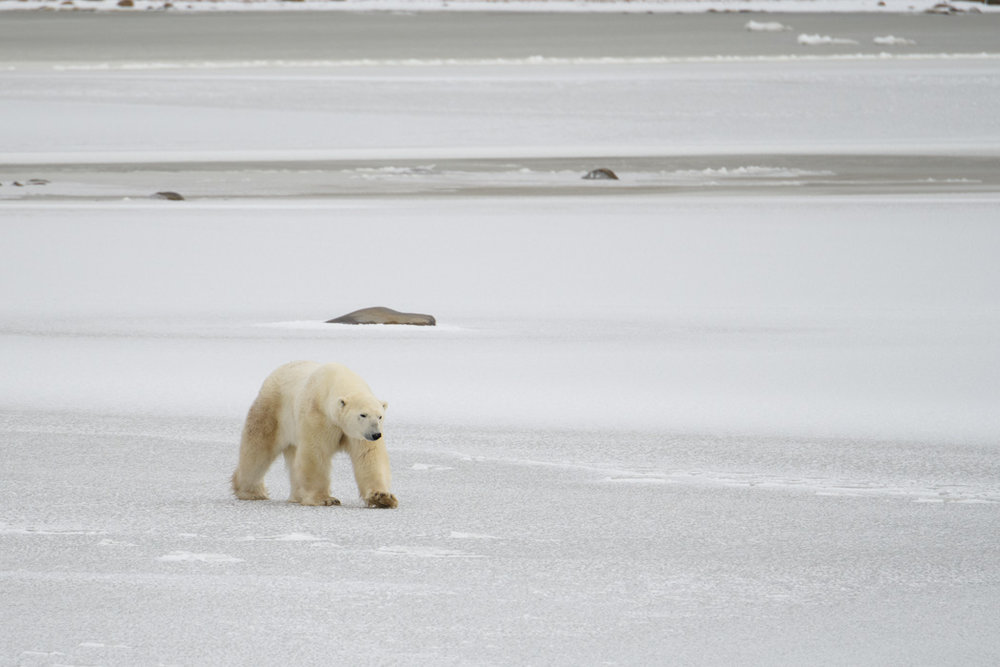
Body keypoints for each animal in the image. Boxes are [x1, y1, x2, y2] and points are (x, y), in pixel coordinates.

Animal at [232, 361, 398, 508]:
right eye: (362, 415)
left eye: (380, 416)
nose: (376, 434)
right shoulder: (318, 416)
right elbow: (315, 453)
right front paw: (325, 499)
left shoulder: (357, 434)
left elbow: (369, 456)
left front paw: (382, 497)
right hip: (272, 412)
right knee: (258, 449)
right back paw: (252, 492)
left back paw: (297, 496)